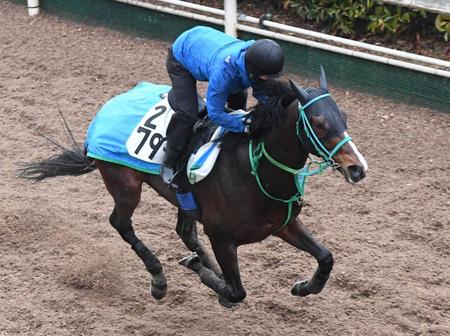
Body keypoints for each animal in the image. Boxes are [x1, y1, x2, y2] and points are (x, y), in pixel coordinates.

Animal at [19, 68, 368, 308]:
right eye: (320, 123)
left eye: (344, 116)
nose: (357, 168)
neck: (256, 171)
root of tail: (106, 111)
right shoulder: (222, 237)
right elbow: (237, 291)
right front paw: (203, 272)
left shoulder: (283, 224)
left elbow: (326, 257)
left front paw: (304, 287)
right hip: (125, 185)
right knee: (121, 223)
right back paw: (159, 279)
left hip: (183, 199)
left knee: (184, 230)